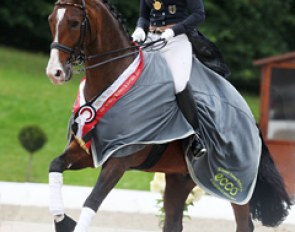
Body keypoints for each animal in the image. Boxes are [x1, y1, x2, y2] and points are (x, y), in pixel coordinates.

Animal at [46, 0, 294, 232]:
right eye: (51, 20)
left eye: (74, 23)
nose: (54, 72)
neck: (118, 79)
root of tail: (250, 116)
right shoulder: (88, 150)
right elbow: (55, 166)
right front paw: (62, 220)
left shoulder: (120, 158)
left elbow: (92, 201)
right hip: (181, 178)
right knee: (173, 222)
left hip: (235, 183)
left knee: (244, 223)